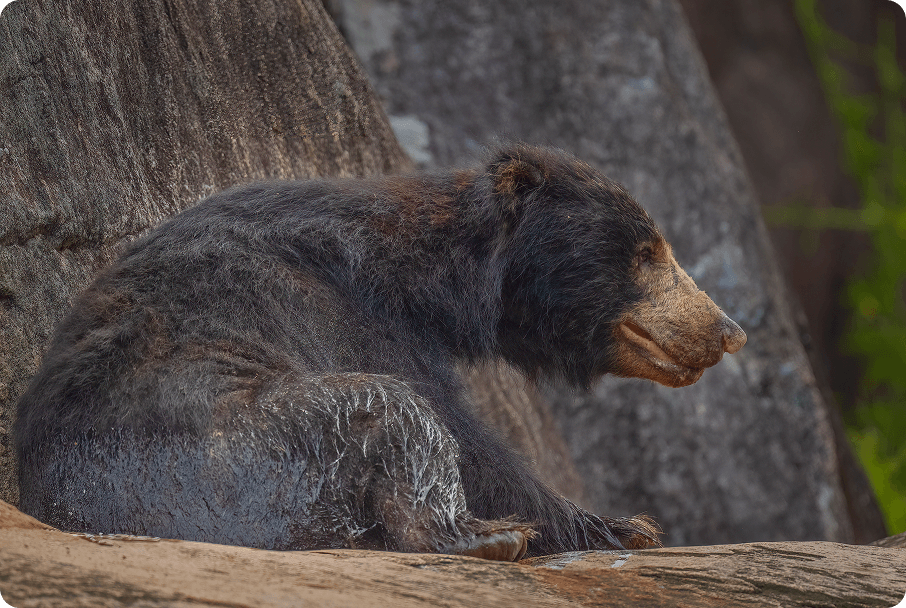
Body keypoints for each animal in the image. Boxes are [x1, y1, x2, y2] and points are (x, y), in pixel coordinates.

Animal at [14, 143, 746, 560]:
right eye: (646, 252)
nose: (726, 329)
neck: (437, 283)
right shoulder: (345, 311)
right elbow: (460, 432)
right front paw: (623, 524)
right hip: (248, 443)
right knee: (389, 409)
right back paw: (487, 535)